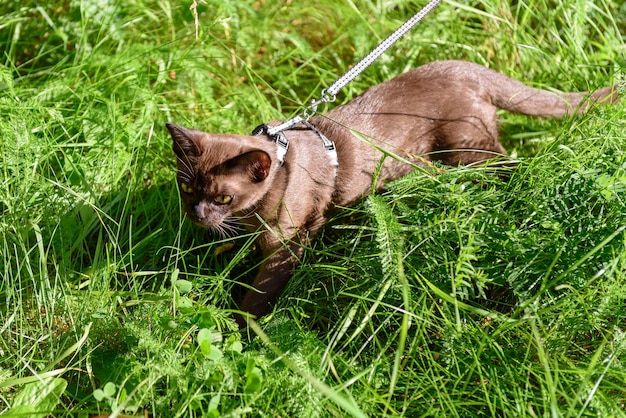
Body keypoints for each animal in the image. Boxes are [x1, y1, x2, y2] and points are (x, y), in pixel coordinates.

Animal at [163, 59, 616, 326]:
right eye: (186, 187)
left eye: (222, 198)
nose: (196, 215)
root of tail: (465, 66)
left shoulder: (285, 244)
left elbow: (257, 296)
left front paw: (239, 332)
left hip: (470, 152)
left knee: (513, 167)